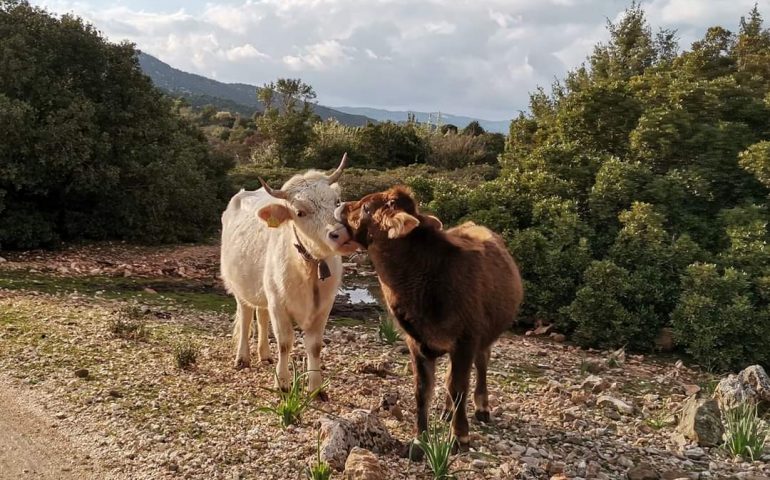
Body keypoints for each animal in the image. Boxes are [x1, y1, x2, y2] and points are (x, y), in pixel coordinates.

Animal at [219, 156, 354, 396]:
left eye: (336, 201)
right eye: (300, 212)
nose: (341, 234)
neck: (309, 268)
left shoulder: (324, 306)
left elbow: (315, 346)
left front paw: (316, 388)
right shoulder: (278, 304)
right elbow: (284, 342)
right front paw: (282, 382)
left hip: (263, 290)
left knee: (262, 316)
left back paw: (264, 354)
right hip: (240, 287)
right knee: (246, 318)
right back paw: (242, 358)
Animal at [332, 187, 520, 454]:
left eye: (367, 206)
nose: (341, 204)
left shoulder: (466, 341)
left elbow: (459, 388)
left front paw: (460, 435)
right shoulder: (416, 343)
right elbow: (423, 391)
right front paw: (420, 438)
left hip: (485, 337)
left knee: (481, 364)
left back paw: (482, 407)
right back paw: (447, 411)